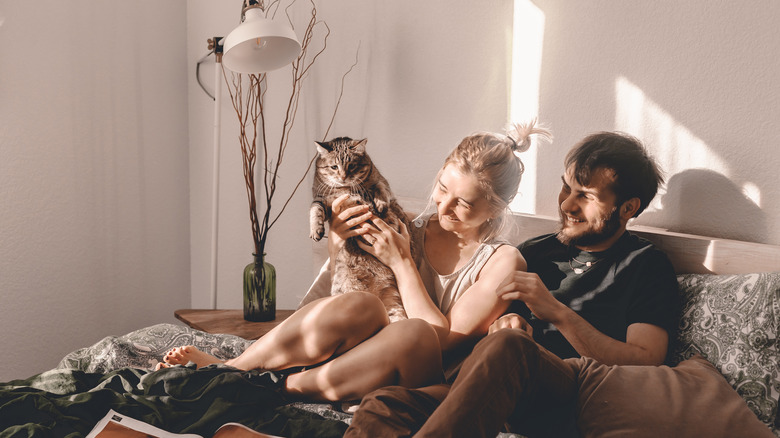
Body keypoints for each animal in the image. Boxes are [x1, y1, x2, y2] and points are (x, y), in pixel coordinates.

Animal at [308, 137, 414, 322]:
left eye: (351, 166)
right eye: (334, 167)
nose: (343, 177)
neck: (346, 188)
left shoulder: (382, 182)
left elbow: (381, 189)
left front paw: (381, 204)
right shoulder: (321, 200)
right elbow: (314, 210)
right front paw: (316, 230)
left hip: (392, 301)